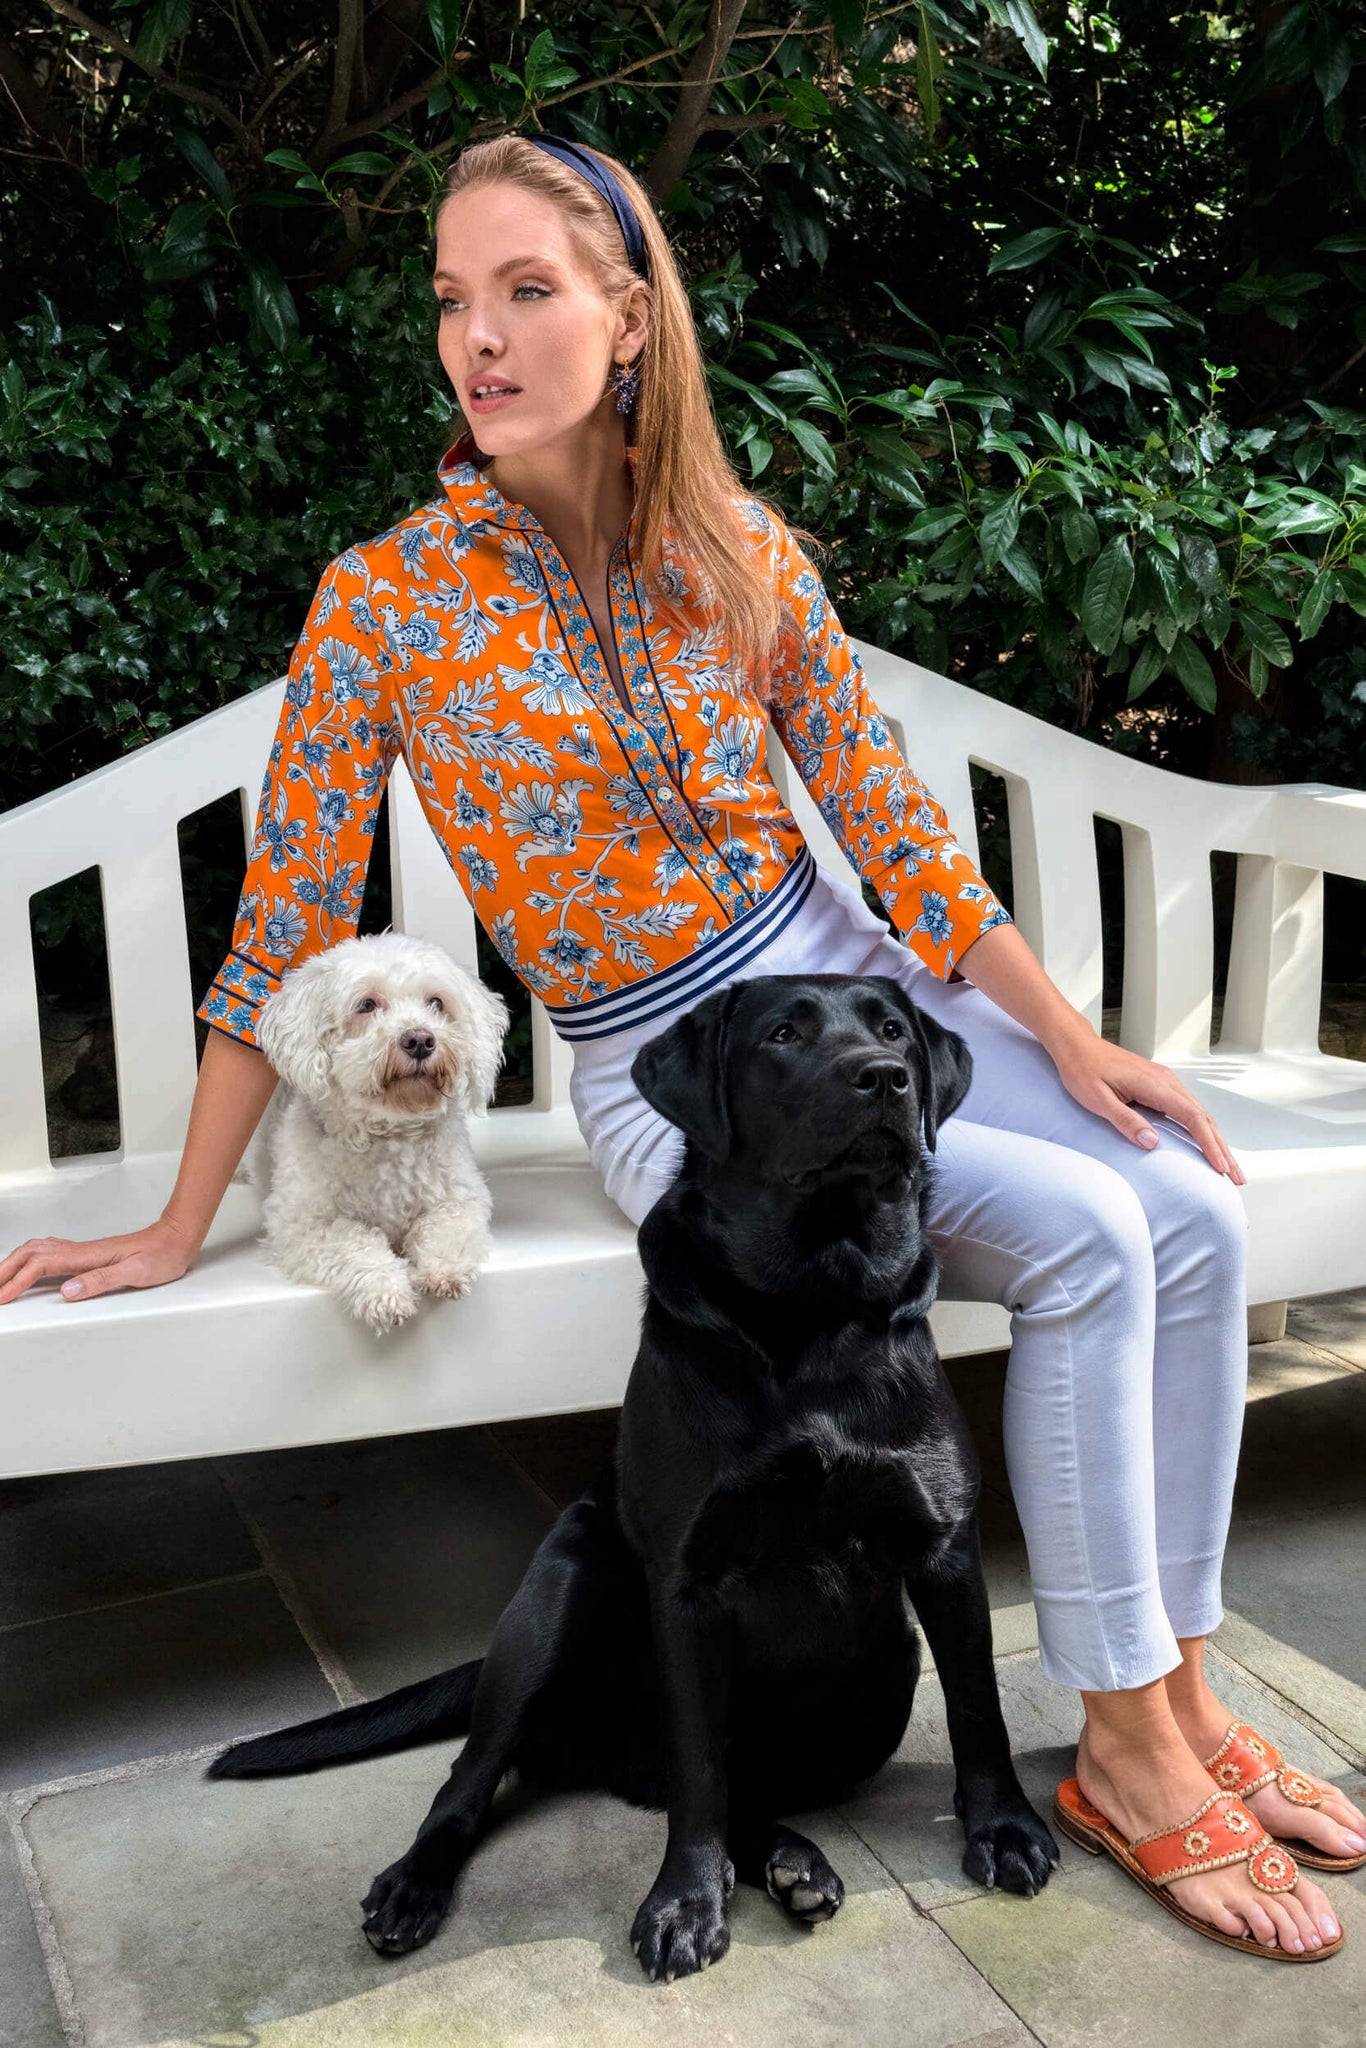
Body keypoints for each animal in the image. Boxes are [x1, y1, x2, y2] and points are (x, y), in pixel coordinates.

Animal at [210, 973, 1058, 1978]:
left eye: (893, 1032)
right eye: (783, 1036)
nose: (884, 1077)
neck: (808, 1301)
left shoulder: (941, 1547)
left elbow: (978, 1708)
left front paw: (1005, 1829)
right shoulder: (687, 1584)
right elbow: (697, 1768)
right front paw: (684, 1904)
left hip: (880, 1679)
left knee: (736, 1789)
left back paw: (790, 1863)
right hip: (557, 1600)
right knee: (479, 1777)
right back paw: (414, 1886)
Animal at [250, 931, 508, 1333]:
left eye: (436, 1002)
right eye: (367, 1005)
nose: (420, 1040)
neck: (390, 1132)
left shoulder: (462, 1200)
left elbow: (445, 1226)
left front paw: (443, 1271)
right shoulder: (301, 1227)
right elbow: (354, 1241)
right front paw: (385, 1292)